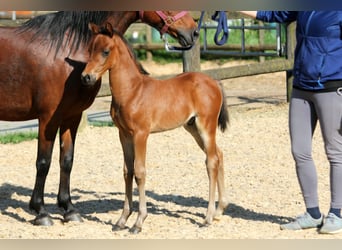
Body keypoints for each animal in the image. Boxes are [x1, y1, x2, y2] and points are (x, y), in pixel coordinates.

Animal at [0, 10, 198, 226]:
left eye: (104, 51)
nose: (194, 31)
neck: (67, 50)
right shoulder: (48, 118)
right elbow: (43, 162)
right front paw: (41, 211)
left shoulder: (72, 116)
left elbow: (66, 160)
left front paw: (69, 209)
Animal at [81, 22, 228, 233]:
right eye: (90, 50)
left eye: (105, 51)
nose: (86, 77)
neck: (131, 91)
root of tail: (214, 82)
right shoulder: (123, 134)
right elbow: (127, 172)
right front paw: (122, 220)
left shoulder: (141, 134)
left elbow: (140, 172)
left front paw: (139, 222)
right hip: (192, 128)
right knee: (220, 154)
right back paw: (219, 210)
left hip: (206, 126)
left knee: (212, 161)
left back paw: (207, 217)